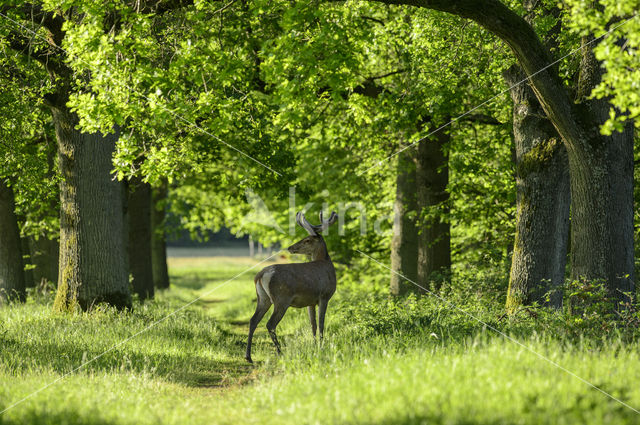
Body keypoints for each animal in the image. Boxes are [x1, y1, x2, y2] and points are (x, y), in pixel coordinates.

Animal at [245, 210, 338, 362]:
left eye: (307, 240)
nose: (290, 247)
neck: (326, 265)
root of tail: (260, 275)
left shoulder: (310, 301)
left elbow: (312, 324)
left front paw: (314, 346)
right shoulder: (324, 296)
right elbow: (321, 323)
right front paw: (321, 347)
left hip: (263, 298)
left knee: (253, 320)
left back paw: (248, 356)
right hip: (281, 298)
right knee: (270, 324)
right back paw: (280, 352)